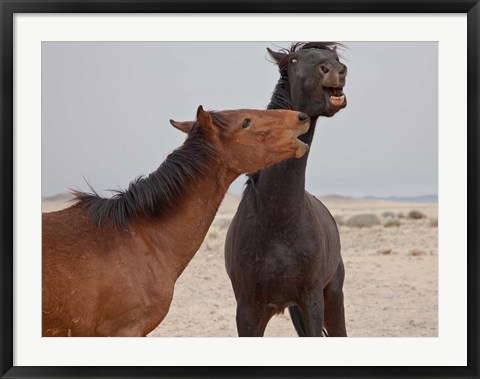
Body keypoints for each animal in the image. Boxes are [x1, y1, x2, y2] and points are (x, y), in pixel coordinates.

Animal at [225, 43, 348, 336]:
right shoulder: (248, 310)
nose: (336, 71)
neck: (277, 222)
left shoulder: (312, 301)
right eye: (293, 60)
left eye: (336, 57)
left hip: (332, 296)